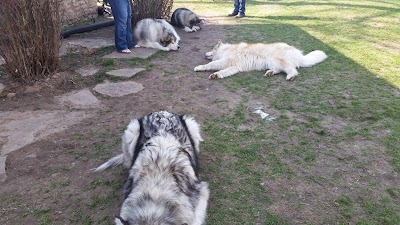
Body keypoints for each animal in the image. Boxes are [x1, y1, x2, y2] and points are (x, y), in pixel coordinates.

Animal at [195, 39, 328, 80]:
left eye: (212, 49)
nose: (204, 54)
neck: (225, 50)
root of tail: (299, 55)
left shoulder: (227, 62)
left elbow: (211, 64)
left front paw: (199, 67)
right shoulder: (234, 67)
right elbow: (222, 72)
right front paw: (216, 75)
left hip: (277, 60)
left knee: (292, 70)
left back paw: (290, 76)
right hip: (272, 62)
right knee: (279, 70)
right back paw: (270, 73)